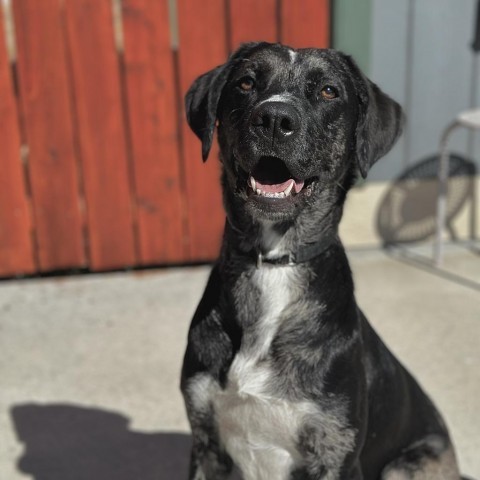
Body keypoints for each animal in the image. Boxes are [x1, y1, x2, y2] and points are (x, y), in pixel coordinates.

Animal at [180, 42, 462, 480]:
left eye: (329, 91)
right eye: (246, 82)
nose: (275, 118)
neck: (274, 261)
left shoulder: (334, 450)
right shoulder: (205, 443)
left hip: (409, 465)